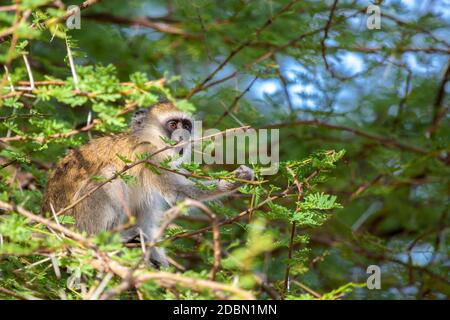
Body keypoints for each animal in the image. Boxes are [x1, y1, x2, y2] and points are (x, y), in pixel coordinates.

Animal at [40, 101, 253, 266]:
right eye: (173, 125)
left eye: (186, 126)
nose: (183, 137)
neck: (147, 138)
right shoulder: (148, 155)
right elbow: (178, 192)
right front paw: (230, 183)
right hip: (78, 221)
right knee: (109, 176)